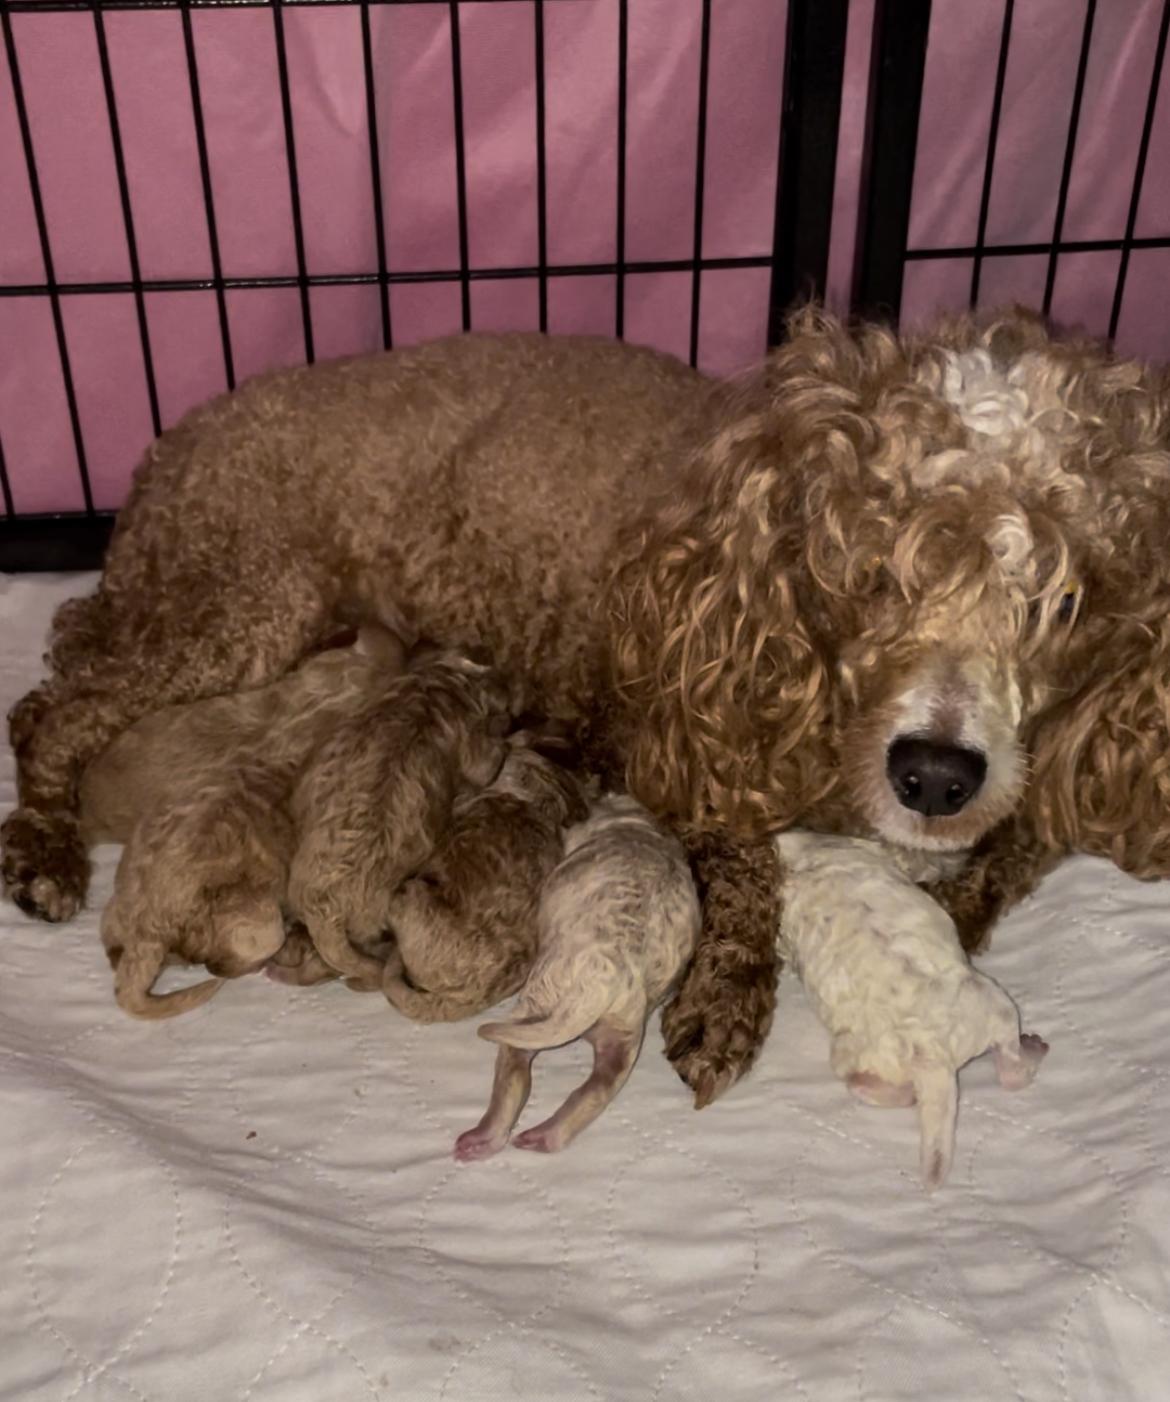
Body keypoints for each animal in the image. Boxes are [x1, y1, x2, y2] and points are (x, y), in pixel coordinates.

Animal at [455, 795, 700, 1160]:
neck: (639, 824)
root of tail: (607, 979)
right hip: (625, 1028)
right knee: (600, 1084)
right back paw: (544, 1135)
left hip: (541, 995)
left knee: (514, 1069)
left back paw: (483, 1137)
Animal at [776, 830, 1048, 1188]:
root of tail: (927, 1053)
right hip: (992, 1002)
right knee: (1011, 1067)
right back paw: (1032, 1050)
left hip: (855, 1057)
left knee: (860, 1083)